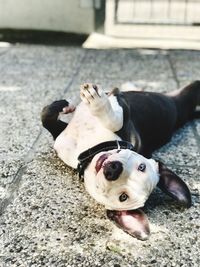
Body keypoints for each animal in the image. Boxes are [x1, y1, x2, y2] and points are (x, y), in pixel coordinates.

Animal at [41, 81, 200, 241]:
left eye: (123, 197)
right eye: (141, 167)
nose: (114, 169)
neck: (94, 148)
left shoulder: (125, 113)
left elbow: (115, 121)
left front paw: (97, 102)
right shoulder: (60, 133)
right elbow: (45, 116)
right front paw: (62, 105)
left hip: (185, 96)